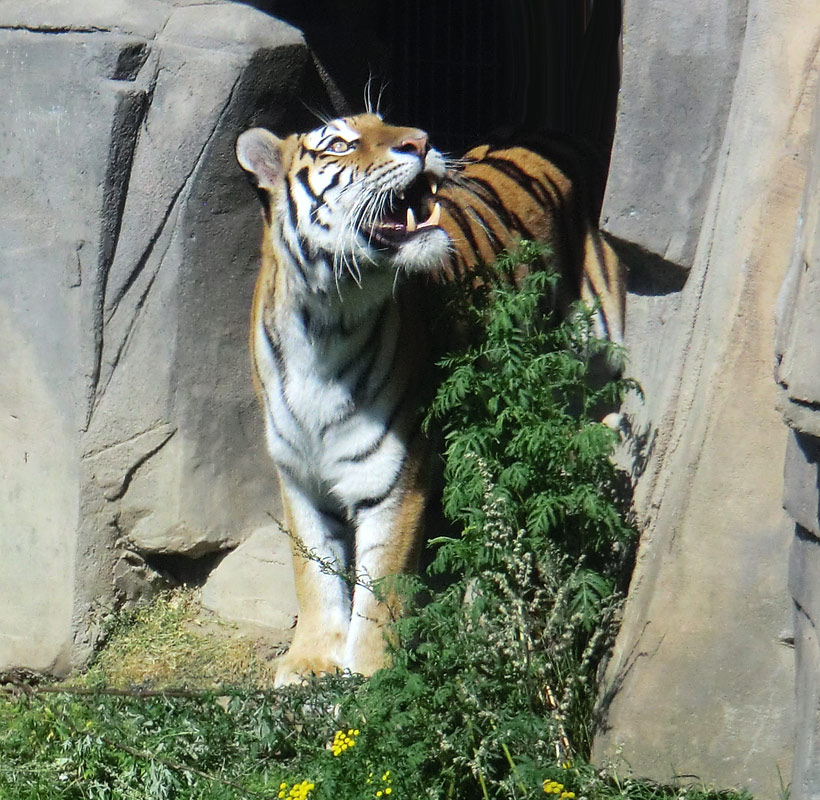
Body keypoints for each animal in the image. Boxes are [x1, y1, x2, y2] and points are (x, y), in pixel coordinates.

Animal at [234, 114, 624, 688]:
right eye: (339, 144)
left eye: (385, 121)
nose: (419, 141)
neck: (324, 322)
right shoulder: (299, 476)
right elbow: (314, 573)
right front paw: (309, 661)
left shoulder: (395, 479)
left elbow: (381, 592)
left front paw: (371, 678)